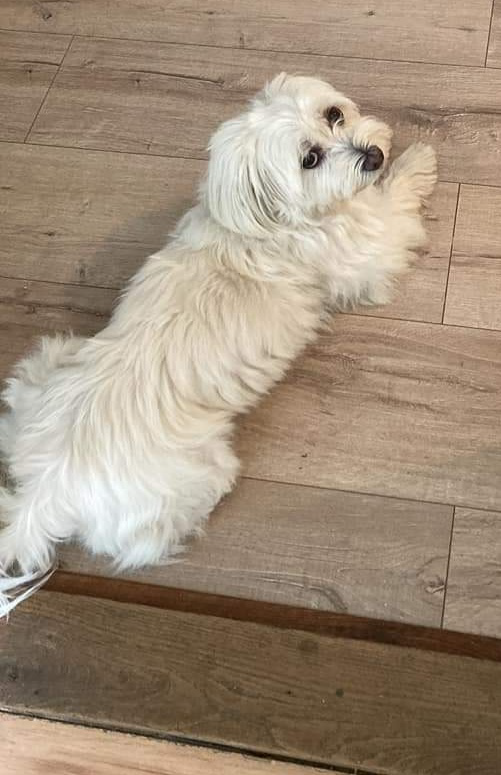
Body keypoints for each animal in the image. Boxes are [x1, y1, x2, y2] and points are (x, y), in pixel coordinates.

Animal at [0, 74, 437, 615]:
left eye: (334, 115)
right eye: (309, 159)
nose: (372, 155)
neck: (269, 222)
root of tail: (43, 494)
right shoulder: (369, 249)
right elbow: (395, 202)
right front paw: (419, 160)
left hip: (44, 367)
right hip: (192, 476)